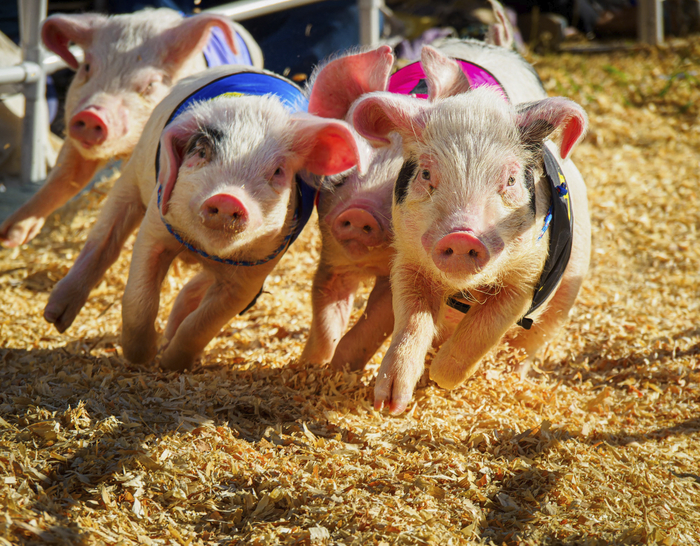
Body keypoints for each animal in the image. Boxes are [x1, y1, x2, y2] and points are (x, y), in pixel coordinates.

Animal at [43, 65, 367, 371]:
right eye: (201, 151)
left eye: (278, 171)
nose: (227, 197)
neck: (204, 248)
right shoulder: (157, 223)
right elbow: (139, 299)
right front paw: (142, 358)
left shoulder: (256, 269)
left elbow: (203, 324)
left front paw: (170, 362)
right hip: (132, 176)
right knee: (104, 239)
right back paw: (55, 317)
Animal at [351, 45, 591, 414]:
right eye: (425, 174)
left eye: (510, 179)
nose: (462, 236)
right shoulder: (407, 257)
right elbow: (411, 319)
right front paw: (389, 402)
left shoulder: (528, 275)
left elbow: (486, 325)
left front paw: (440, 378)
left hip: (567, 294)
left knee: (530, 343)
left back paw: (508, 376)